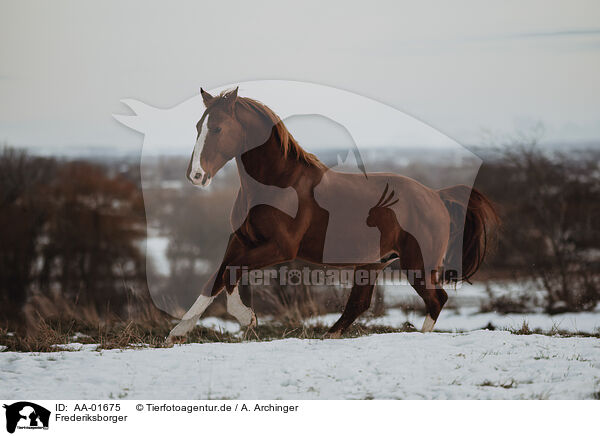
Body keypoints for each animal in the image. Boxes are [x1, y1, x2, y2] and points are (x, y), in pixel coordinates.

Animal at [165, 87, 496, 342]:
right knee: (359, 303)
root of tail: (436, 196)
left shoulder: (280, 248)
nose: (195, 176)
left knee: (437, 299)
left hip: (418, 264)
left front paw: (247, 318)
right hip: (373, 263)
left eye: (218, 128)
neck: (277, 182)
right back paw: (330, 335)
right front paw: (177, 333)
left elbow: (231, 272)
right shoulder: (241, 239)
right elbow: (216, 278)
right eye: (198, 127)